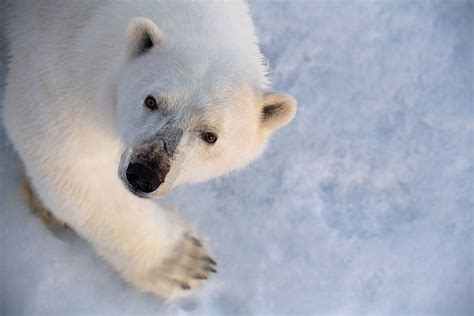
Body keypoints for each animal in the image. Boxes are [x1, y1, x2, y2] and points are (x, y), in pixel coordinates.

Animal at [2, 0, 296, 298]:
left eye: (210, 136)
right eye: (151, 101)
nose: (145, 174)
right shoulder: (60, 70)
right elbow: (73, 163)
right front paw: (185, 261)